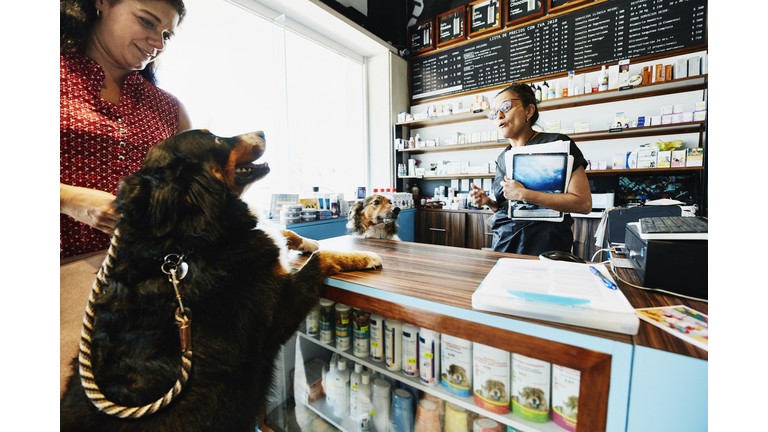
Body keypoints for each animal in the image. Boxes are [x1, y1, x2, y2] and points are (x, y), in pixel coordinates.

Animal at [58, 130, 382, 432]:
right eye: (214, 138)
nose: (262, 132)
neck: (184, 243)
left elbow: (283, 232)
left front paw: (308, 240)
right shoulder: (279, 312)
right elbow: (322, 257)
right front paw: (364, 256)